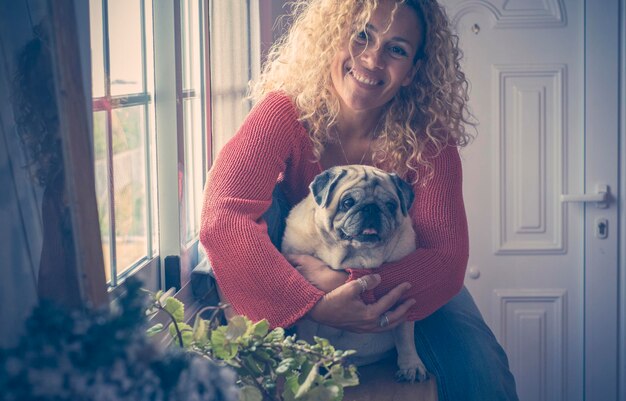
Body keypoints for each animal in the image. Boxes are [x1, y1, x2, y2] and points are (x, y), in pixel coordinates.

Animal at [280, 165, 426, 382]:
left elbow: (405, 336)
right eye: (348, 202)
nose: (371, 207)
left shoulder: (406, 302)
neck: (357, 255)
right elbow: (307, 336)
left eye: (391, 205)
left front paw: (411, 365)